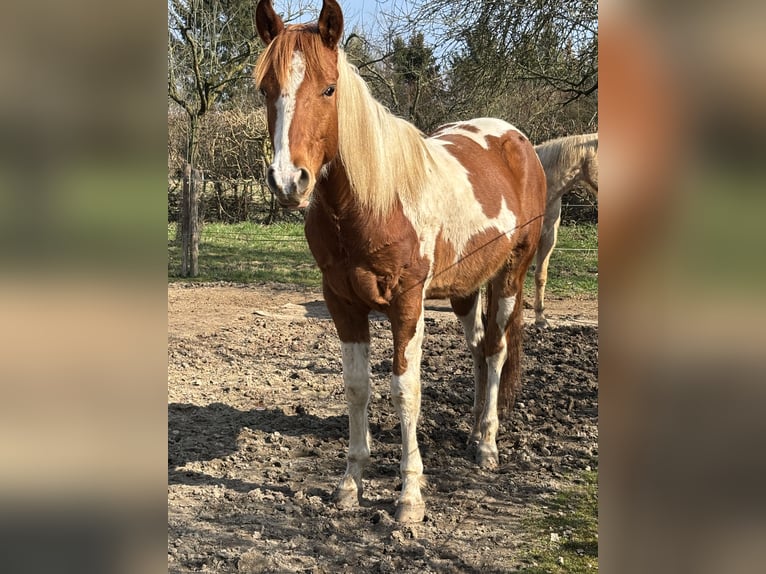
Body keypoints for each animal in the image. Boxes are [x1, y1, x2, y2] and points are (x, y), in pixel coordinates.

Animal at [255, 0, 548, 524]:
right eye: (266, 89)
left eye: (329, 88)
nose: (289, 181)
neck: (374, 203)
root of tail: (516, 140)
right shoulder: (342, 303)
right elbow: (357, 388)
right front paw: (350, 483)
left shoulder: (407, 305)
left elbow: (405, 391)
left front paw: (410, 496)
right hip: (464, 290)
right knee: (478, 350)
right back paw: (473, 433)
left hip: (510, 277)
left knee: (495, 351)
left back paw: (488, 446)